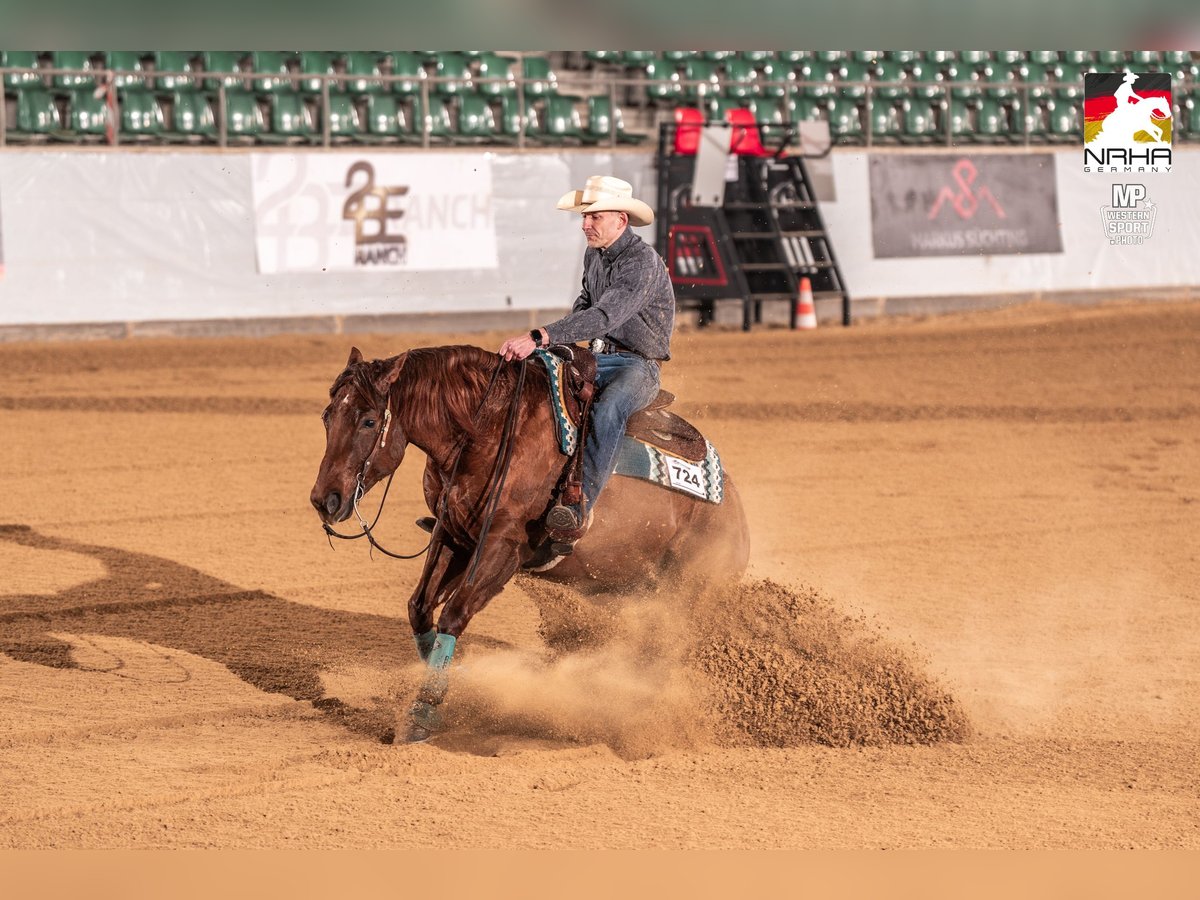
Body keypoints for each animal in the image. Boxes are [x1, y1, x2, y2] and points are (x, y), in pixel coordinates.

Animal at [310, 345, 750, 742]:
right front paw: (455, 680)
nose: (324, 500)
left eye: (369, 421)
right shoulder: (452, 534)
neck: (488, 429)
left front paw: (423, 713)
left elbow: (453, 614)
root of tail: (734, 508)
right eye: (327, 417)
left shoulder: (504, 547)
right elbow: (420, 609)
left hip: (686, 591)